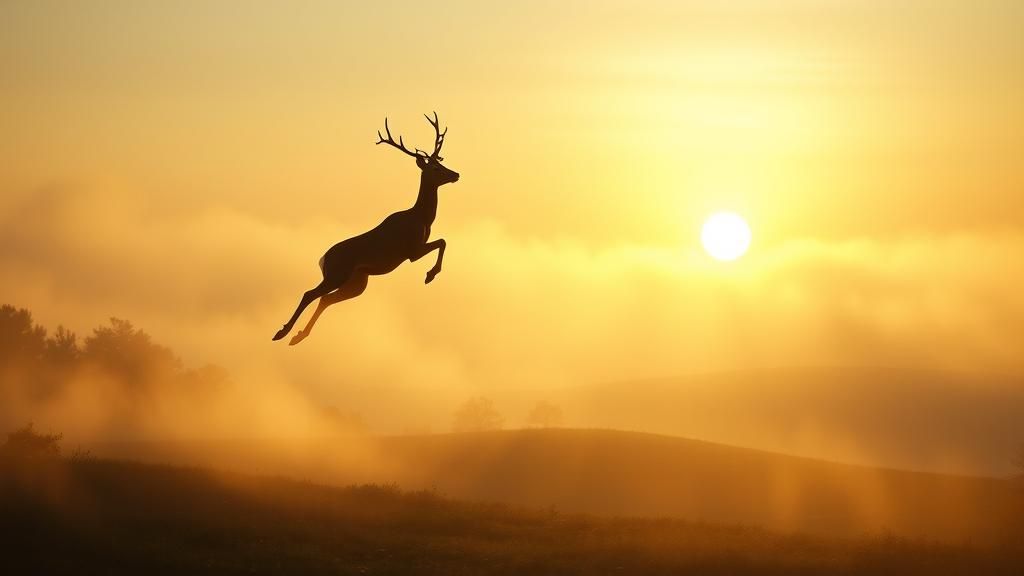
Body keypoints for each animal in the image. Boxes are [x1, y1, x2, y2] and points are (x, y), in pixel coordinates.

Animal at [273, 112, 459, 345]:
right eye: (435, 168)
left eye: (441, 163)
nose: (456, 174)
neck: (422, 218)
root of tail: (323, 259)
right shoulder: (411, 251)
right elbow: (442, 241)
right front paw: (430, 275)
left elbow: (443, 241)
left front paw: (431, 274)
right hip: (337, 273)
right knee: (310, 293)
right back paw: (282, 333)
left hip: (357, 282)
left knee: (325, 298)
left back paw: (298, 336)